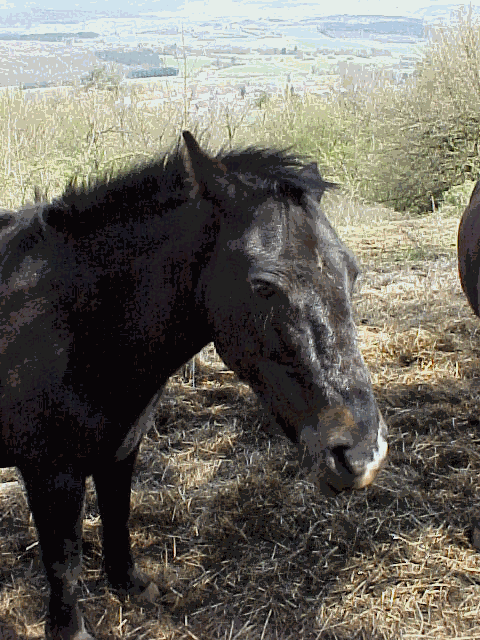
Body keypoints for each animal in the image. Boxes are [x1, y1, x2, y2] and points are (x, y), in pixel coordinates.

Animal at [0, 131, 386, 640]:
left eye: (352, 272)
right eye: (263, 286)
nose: (361, 454)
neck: (74, 322)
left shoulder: (121, 449)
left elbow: (117, 514)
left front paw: (132, 586)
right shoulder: (50, 472)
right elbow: (64, 561)